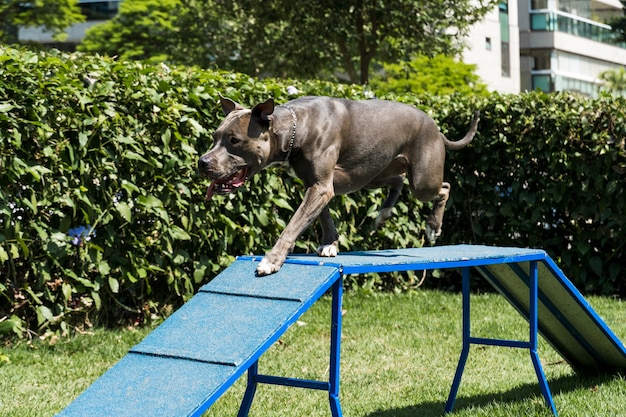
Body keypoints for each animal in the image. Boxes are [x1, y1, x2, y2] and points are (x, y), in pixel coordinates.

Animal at [197, 96, 476, 274]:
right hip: (373, 175)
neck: (295, 126)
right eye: (215, 137)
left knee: (444, 187)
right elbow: (323, 217)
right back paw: (384, 213)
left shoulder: (320, 187)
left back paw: (432, 226)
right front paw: (330, 243)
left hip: (423, 179)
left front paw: (272, 260)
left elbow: (293, 225)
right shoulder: (316, 185)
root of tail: (437, 129)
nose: (202, 162)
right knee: (398, 180)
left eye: (234, 140)